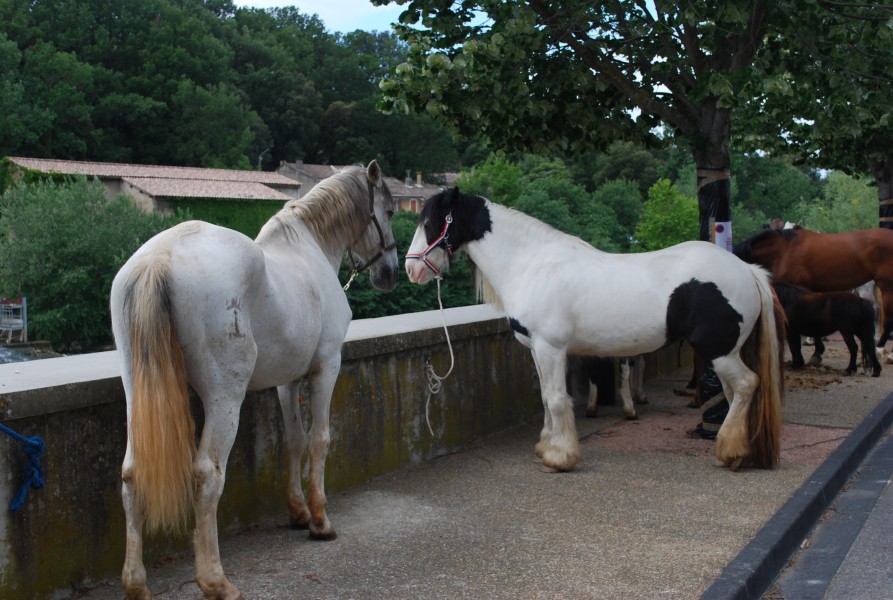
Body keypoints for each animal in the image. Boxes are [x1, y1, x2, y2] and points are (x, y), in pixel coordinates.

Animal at [110, 161, 396, 600]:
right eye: (391, 210)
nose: (391, 272)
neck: (310, 248)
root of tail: (159, 258)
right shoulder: (326, 366)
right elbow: (319, 440)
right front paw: (320, 520)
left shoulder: (287, 381)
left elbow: (293, 441)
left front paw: (297, 511)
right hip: (225, 396)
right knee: (208, 473)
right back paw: (216, 581)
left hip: (135, 387)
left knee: (131, 473)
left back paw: (136, 582)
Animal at [404, 188, 780, 474]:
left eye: (430, 222)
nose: (411, 269)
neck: (532, 265)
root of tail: (747, 270)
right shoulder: (537, 349)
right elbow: (546, 398)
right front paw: (546, 447)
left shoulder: (551, 348)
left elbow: (558, 400)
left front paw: (560, 458)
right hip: (725, 352)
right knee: (735, 392)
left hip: (719, 350)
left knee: (746, 385)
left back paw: (731, 452)